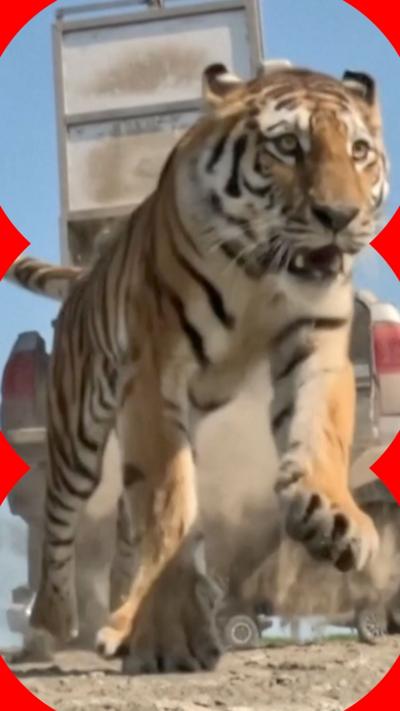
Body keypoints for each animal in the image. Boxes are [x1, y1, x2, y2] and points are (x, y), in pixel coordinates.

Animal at [5, 60, 389, 674]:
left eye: (359, 151)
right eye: (287, 146)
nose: (340, 217)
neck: (261, 270)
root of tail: (85, 276)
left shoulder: (316, 341)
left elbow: (320, 432)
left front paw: (334, 517)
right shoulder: (156, 376)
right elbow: (171, 504)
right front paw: (174, 633)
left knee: (125, 522)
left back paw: (121, 617)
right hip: (78, 433)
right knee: (62, 520)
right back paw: (54, 621)